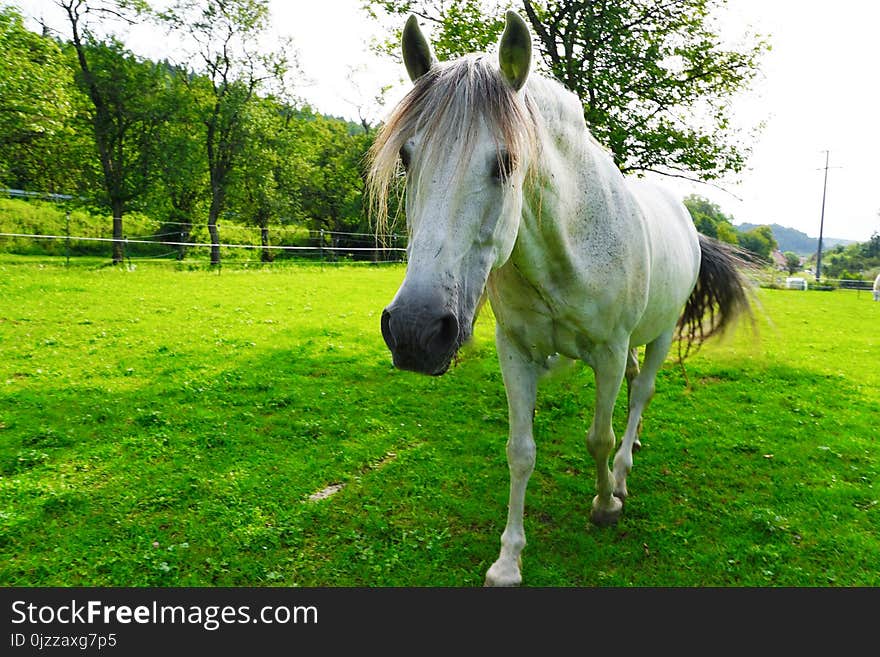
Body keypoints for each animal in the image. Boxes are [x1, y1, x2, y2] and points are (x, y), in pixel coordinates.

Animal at [368, 11, 752, 584]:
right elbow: (520, 451)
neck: (564, 248)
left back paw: (622, 474)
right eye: (406, 159)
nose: (416, 331)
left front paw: (606, 504)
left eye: (506, 163)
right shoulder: (516, 351)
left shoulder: (609, 353)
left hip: (660, 335)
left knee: (641, 393)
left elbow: (599, 438)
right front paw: (508, 560)